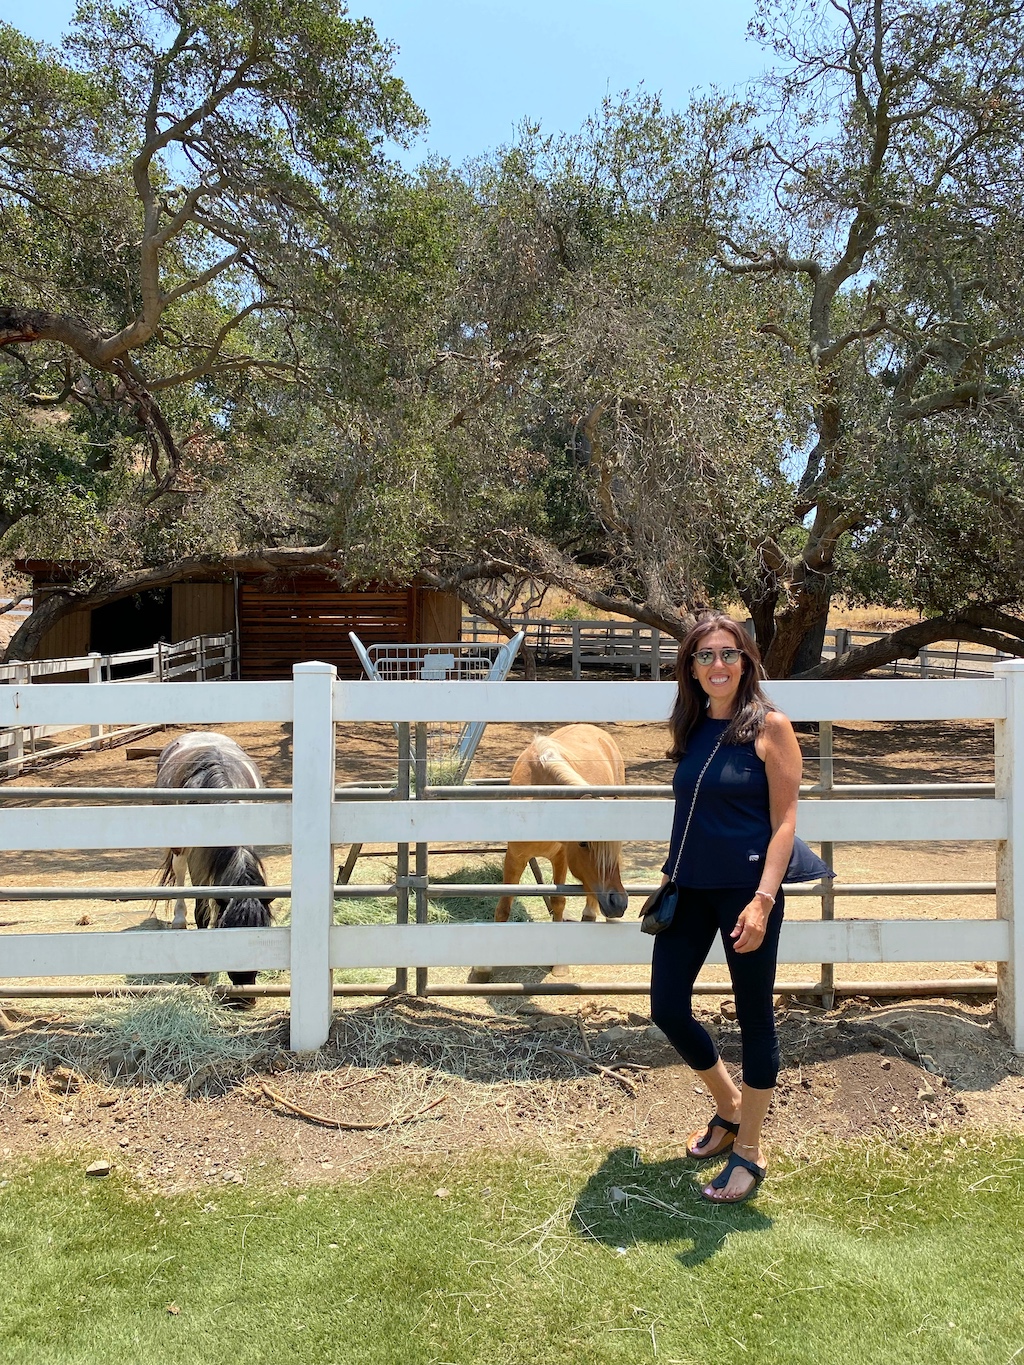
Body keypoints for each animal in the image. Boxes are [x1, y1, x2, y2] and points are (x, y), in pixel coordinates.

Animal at [155, 731, 274, 988]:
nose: (244, 987)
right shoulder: (196, 859)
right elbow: (202, 909)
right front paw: (201, 973)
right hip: (180, 850)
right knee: (179, 874)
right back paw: (179, 920)